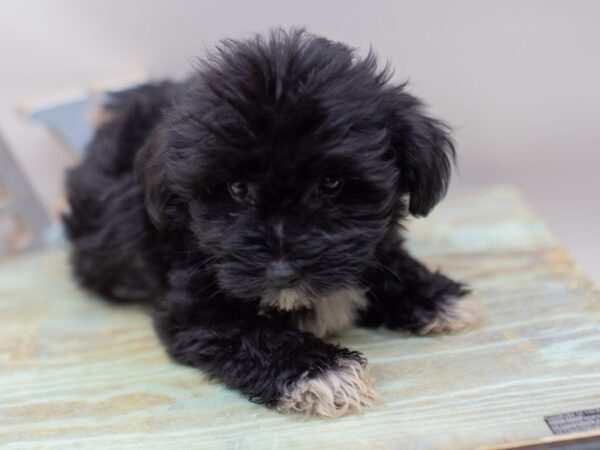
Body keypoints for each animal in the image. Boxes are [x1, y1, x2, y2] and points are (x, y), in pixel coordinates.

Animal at [64, 29, 478, 418]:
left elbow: (384, 262)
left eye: (331, 183)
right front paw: (321, 372)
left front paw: (433, 295)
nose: (281, 272)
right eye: (237, 188)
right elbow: (251, 333)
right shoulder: (194, 307)